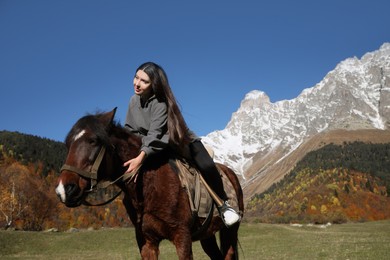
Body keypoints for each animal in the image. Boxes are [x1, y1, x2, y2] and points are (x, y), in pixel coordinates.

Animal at [54, 108, 244, 260]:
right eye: (68, 144)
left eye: (93, 141)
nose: (64, 190)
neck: (149, 185)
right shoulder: (146, 242)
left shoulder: (182, 237)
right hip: (207, 235)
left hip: (230, 231)